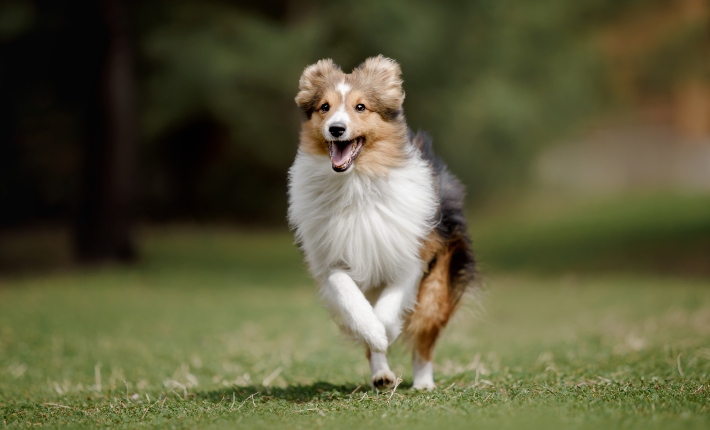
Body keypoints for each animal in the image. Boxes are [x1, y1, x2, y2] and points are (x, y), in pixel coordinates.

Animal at [286, 54, 476, 390]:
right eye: (324, 107)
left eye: (361, 107)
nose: (336, 129)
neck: (356, 184)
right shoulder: (330, 260)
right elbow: (353, 302)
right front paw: (373, 334)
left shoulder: (411, 258)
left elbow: (388, 312)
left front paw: (386, 331)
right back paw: (382, 375)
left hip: (438, 283)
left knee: (424, 336)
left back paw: (423, 382)